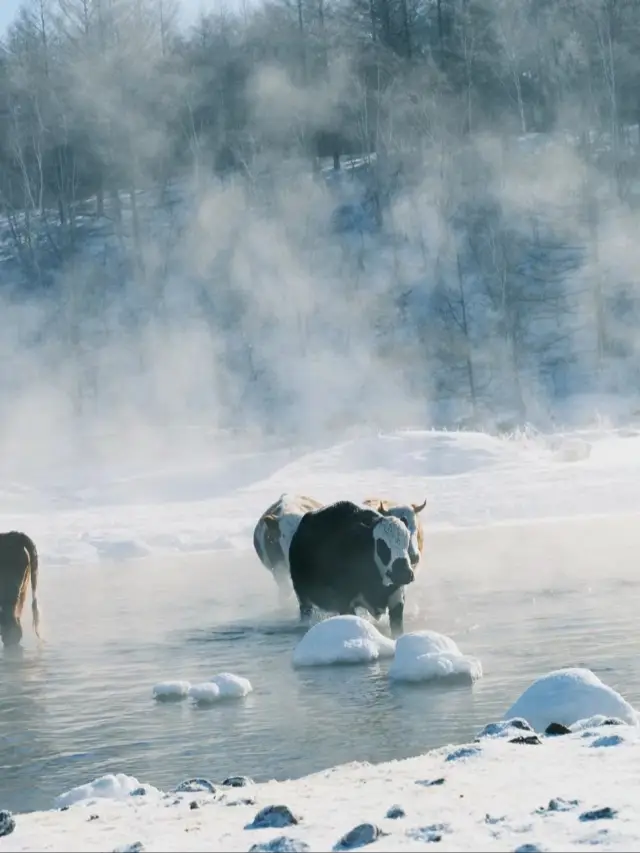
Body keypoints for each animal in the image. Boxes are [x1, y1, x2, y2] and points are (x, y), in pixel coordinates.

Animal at [286, 500, 416, 640]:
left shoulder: (397, 600)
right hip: (302, 595)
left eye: (407, 541)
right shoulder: (344, 602)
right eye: (381, 544)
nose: (403, 573)